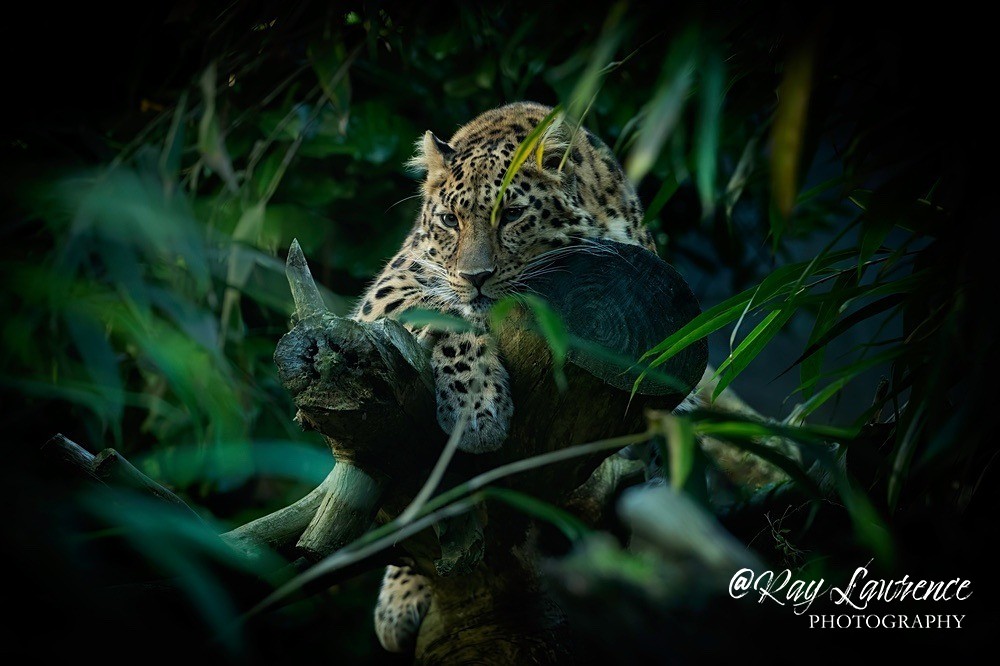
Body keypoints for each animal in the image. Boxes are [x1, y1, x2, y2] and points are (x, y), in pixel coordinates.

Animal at [352, 101, 655, 653]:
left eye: (512, 215)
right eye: (450, 221)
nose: (475, 278)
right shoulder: (389, 288)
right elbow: (445, 310)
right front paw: (476, 410)